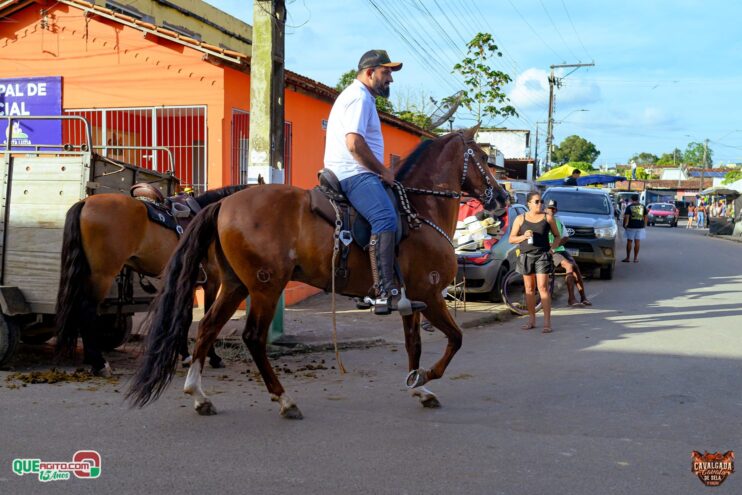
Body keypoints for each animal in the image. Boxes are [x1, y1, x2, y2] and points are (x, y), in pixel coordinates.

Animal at [55, 185, 247, 376]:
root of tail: (85, 202)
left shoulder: (190, 283)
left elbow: (185, 317)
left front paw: (185, 355)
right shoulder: (213, 281)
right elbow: (210, 317)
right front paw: (213, 357)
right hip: (102, 275)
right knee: (87, 310)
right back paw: (99, 363)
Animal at [127, 126, 508, 418]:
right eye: (482, 158)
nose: (503, 198)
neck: (419, 209)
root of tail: (223, 203)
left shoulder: (412, 298)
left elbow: (413, 343)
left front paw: (418, 386)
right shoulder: (430, 295)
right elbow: (456, 338)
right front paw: (427, 377)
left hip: (235, 285)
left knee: (207, 329)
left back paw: (199, 395)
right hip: (265, 287)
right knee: (252, 337)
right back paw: (284, 400)